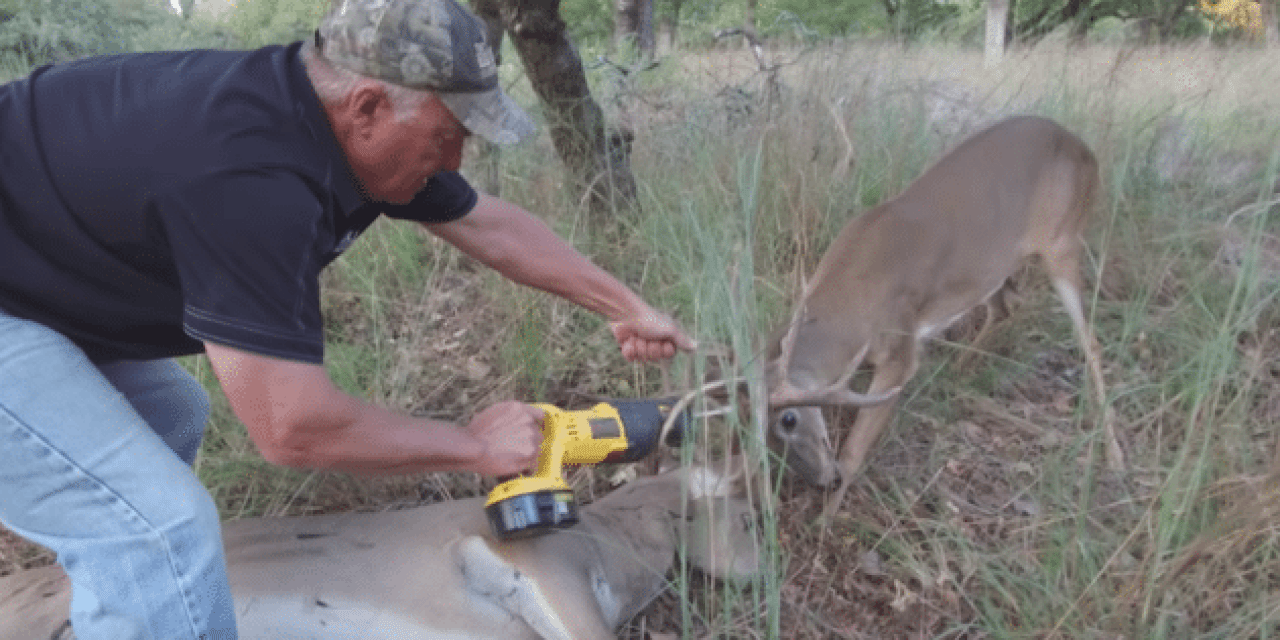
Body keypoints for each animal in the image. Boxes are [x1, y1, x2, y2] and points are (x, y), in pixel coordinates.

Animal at [762, 113, 1126, 514]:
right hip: (994, 267)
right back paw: (959, 370)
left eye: (789, 419)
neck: (848, 302)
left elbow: (854, 451)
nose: (821, 480)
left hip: (1063, 244)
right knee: (1008, 305)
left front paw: (826, 518)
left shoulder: (900, 354)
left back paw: (1115, 457)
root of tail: (1087, 151)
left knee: (1090, 342)